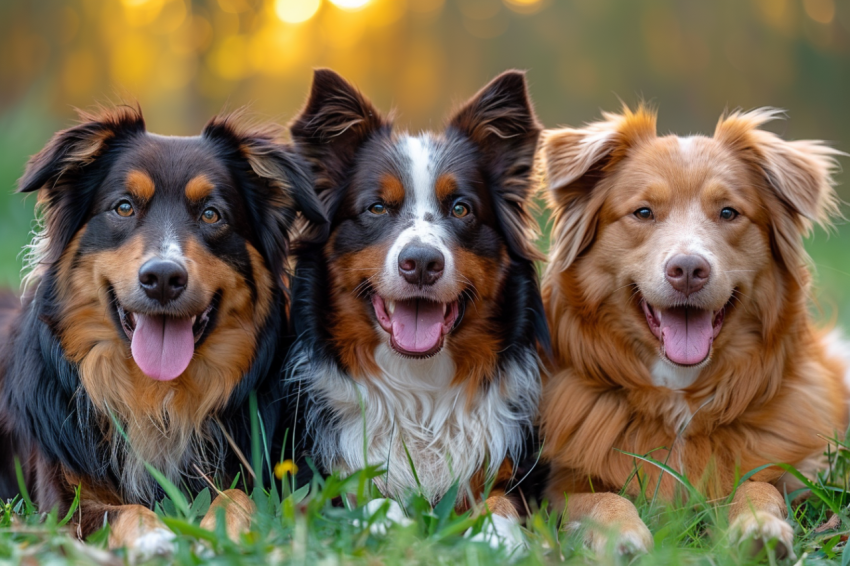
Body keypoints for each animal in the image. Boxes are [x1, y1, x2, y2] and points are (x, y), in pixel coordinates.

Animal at [0, 104, 322, 556]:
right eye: (123, 207)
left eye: (211, 214)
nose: (164, 278)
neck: (156, 396)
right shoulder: (62, 502)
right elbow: (122, 511)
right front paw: (155, 537)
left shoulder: (257, 478)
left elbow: (236, 498)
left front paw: (220, 536)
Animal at [286, 71, 548, 528]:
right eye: (376, 208)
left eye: (461, 208)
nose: (422, 263)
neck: (419, 390)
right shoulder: (321, 481)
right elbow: (373, 500)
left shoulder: (513, 477)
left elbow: (499, 504)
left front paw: (496, 535)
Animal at [536, 105, 848, 556]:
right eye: (643, 212)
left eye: (728, 212)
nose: (687, 270)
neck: (680, 395)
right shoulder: (558, 484)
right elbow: (600, 498)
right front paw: (621, 533)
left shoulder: (794, 471)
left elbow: (758, 487)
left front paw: (759, 528)